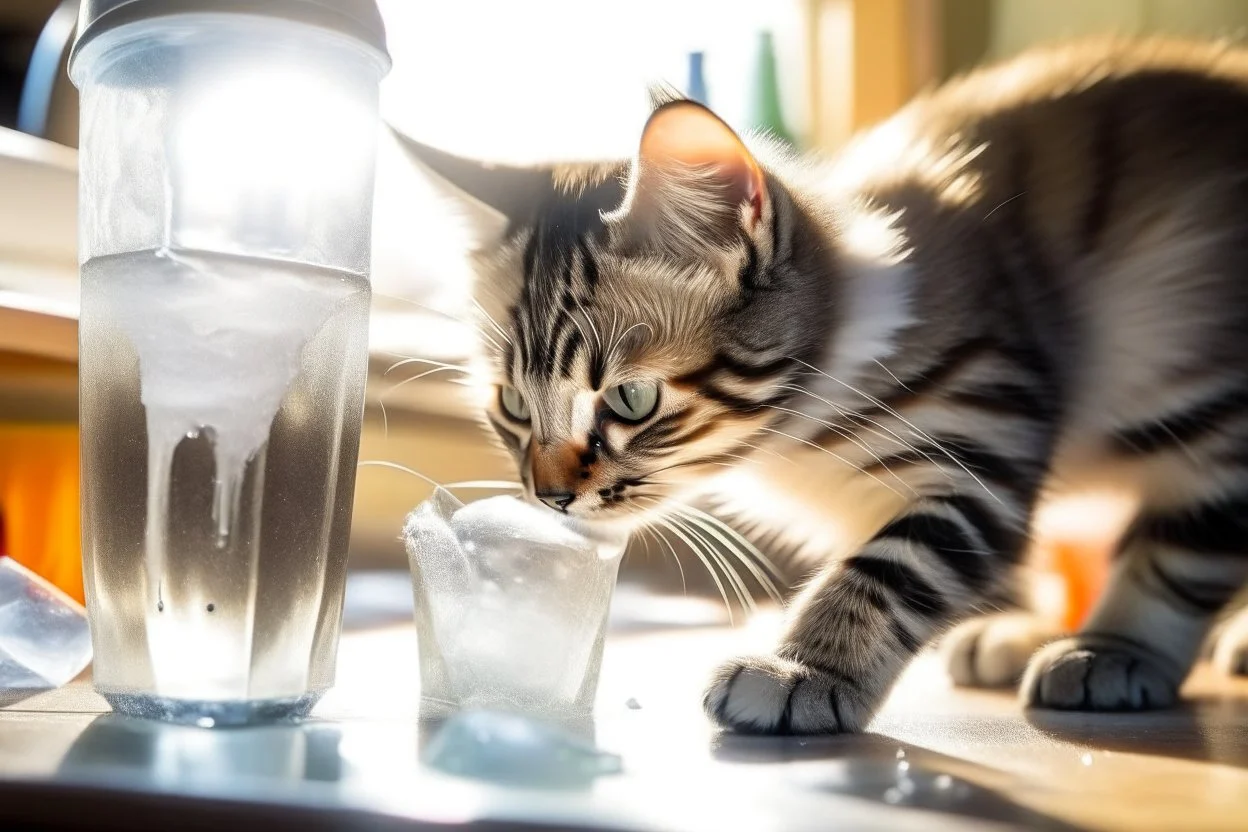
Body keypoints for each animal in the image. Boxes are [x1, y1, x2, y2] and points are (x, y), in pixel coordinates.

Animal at [396, 37, 1248, 733]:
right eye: (513, 406)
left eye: (630, 401)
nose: (549, 496)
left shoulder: (986, 434)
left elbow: (892, 568)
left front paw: (803, 669)